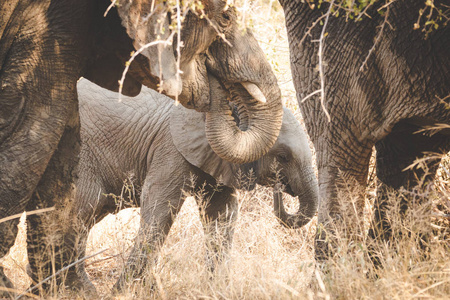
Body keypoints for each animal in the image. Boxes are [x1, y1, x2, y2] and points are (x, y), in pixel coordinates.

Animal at [67, 78, 320, 292]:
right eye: (283, 157)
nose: (281, 187)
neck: (226, 108)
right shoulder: (170, 149)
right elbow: (159, 209)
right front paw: (123, 292)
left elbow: (222, 214)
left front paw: (217, 289)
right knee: (83, 210)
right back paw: (82, 290)